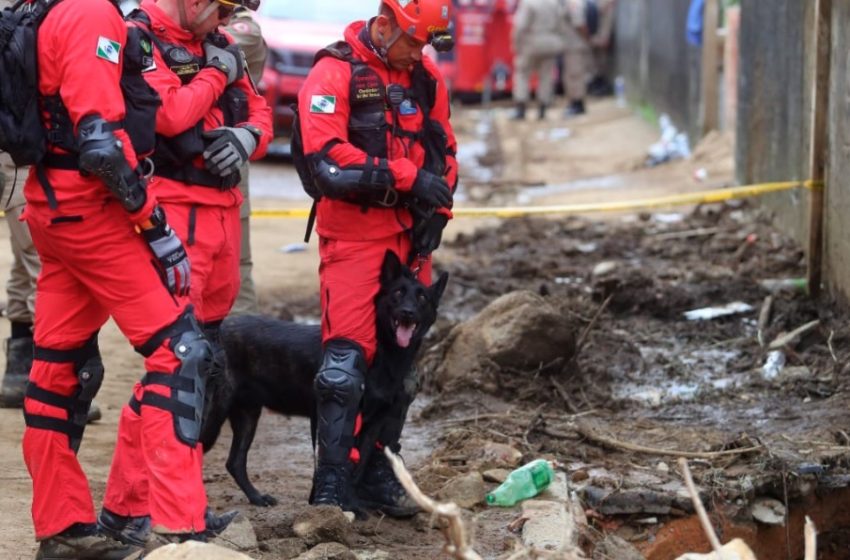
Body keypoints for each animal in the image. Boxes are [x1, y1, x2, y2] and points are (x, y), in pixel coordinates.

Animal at [201, 252, 448, 506]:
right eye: (398, 292)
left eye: (422, 298)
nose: (408, 312)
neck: (385, 353)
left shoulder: (374, 424)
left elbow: (357, 467)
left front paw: (353, 505)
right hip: (213, 414)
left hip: (247, 414)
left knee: (235, 462)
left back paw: (257, 497)